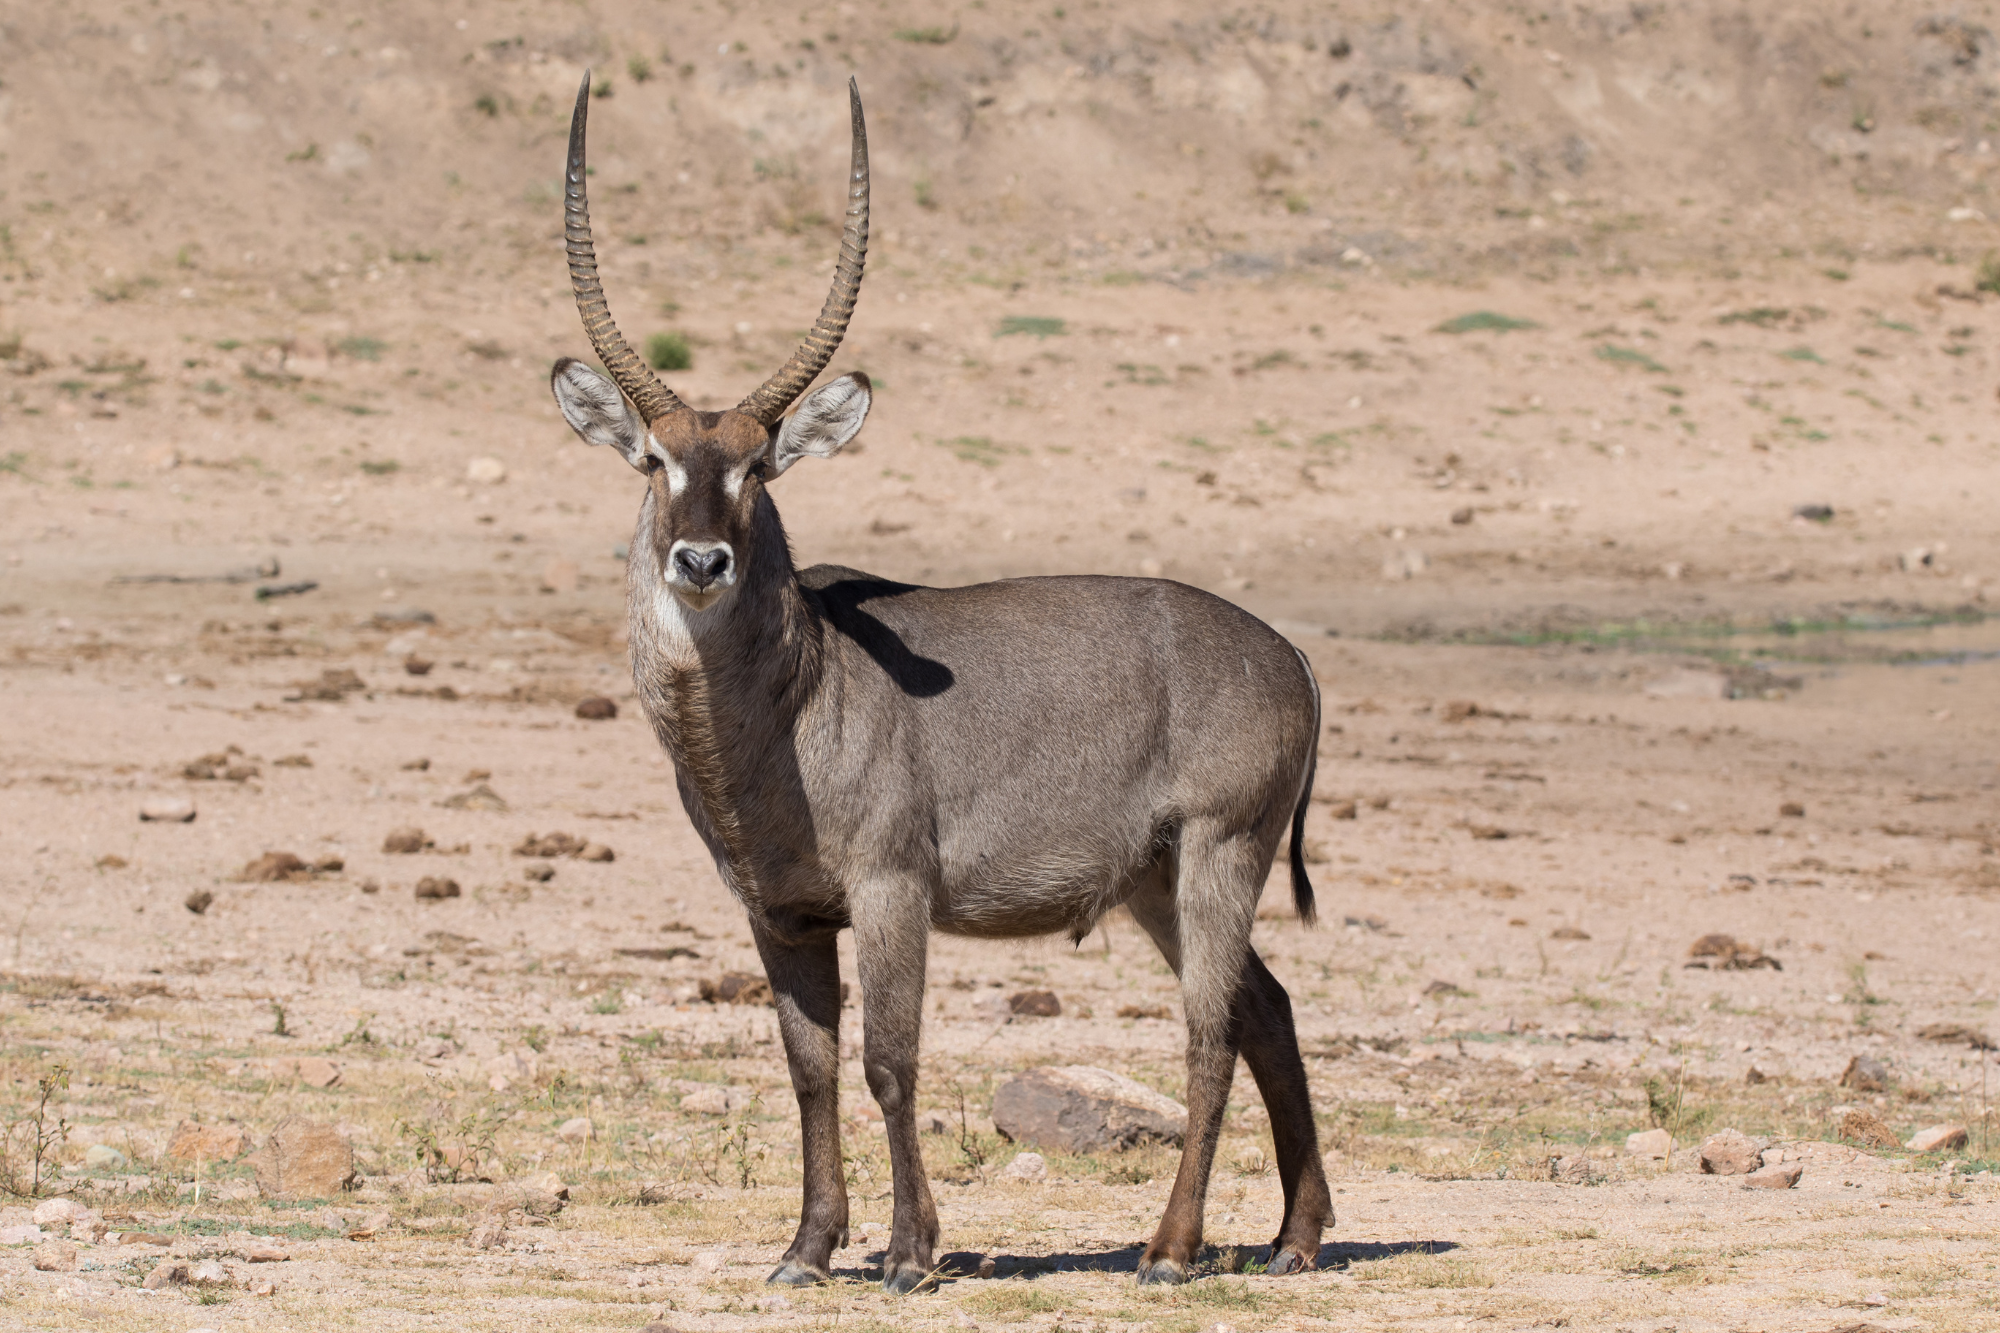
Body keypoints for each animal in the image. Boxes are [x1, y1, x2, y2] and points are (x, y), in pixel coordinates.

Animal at [548, 72, 1328, 1288]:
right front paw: (807, 1248)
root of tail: (1286, 651)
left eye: (758, 465)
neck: (788, 703)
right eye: (655, 459)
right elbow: (809, 1067)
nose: (701, 561)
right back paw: (1291, 1239)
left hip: (1217, 851)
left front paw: (912, 1251)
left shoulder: (891, 890)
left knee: (1210, 1031)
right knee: (1267, 1010)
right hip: (1155, 880)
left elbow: (888, 1060)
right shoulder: (780, 913)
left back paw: (1169, 1251)